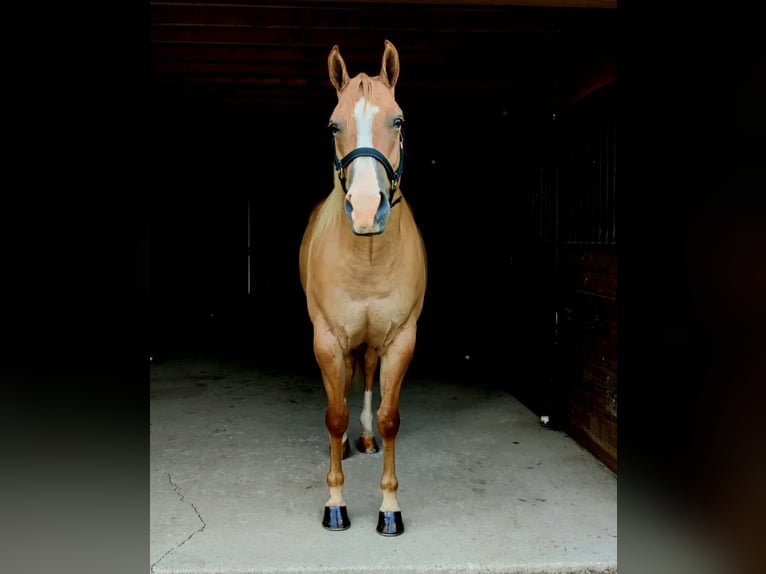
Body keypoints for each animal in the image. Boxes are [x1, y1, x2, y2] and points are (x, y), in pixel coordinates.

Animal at [300, 39, 428, 536]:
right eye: (334, 124)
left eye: (399, 120)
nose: (368, 209)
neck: (368, 256)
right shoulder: (328, 339)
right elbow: (334, 415)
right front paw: (335, 504)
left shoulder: (400, 339)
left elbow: (391, 418)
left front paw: (389, 509)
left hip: (373, 342)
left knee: (368, 375)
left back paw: (367, 437)